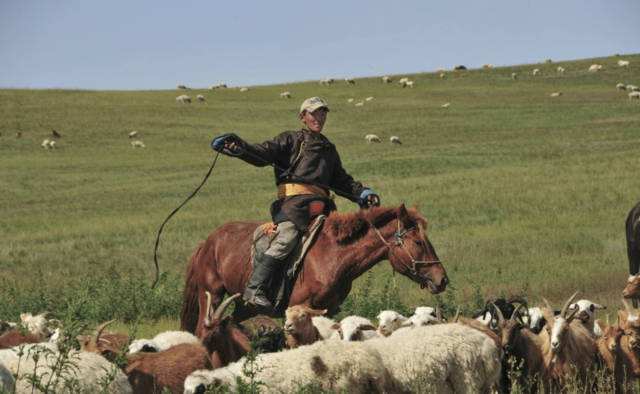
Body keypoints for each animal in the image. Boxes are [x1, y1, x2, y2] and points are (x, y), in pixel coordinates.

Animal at [182, 205, 448, 338]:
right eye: (418, 242)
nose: (442, 279)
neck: (331, 256)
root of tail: (207, 242)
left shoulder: (326, 310)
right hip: (211, 296)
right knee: (202, 330)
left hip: (244, 307)